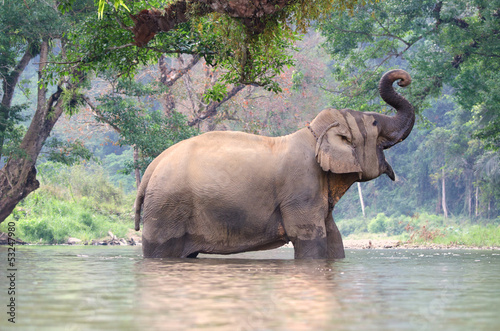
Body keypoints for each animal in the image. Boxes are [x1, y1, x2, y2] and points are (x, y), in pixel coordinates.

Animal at [134, 69, 414, 260]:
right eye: (374, 123)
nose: (403, 79)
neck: (313, 133)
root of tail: (151, 169)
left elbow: (334, 238)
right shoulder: (301, 189)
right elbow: (309, 240)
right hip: (166, 209)